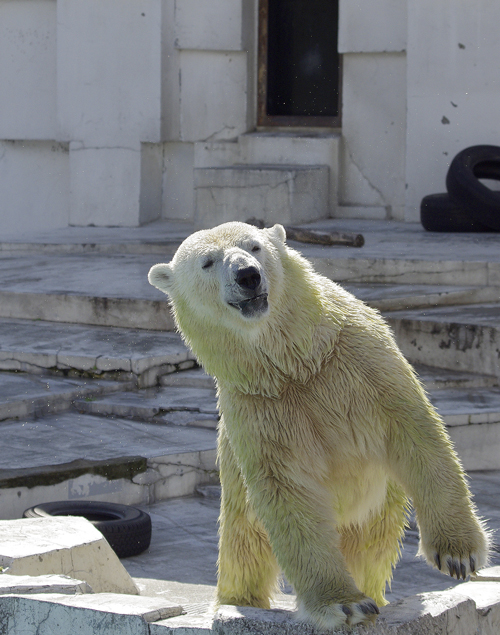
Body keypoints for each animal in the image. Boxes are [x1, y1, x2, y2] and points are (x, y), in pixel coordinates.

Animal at [147, 221, 488, 628]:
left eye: (255, 246)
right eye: (207, 262)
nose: (248, 276)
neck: (297, 365)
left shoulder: (360, 361)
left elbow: (414, 430)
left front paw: (458, 554)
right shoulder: (259, 406)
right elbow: (288, 489)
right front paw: (345, 605)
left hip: (377, 510)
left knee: (370, 551)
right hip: (235, 488)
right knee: (243, 548)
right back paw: (237, 603)